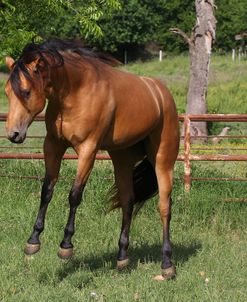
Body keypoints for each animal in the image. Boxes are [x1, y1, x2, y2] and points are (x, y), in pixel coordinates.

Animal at [4, 39, 179, 280]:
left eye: (27, 92)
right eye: (7, 92)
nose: (13, 134)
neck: (76, 91)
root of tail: (162, 94)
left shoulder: (88, 149)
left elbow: (74, 194)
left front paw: (66, 246)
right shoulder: (53, 145)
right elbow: (47, 190)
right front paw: (33, 241)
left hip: (163, 161)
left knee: (164, 207)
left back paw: (167, 264)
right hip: (122, 160)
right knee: (128, 202)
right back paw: (122, 258)